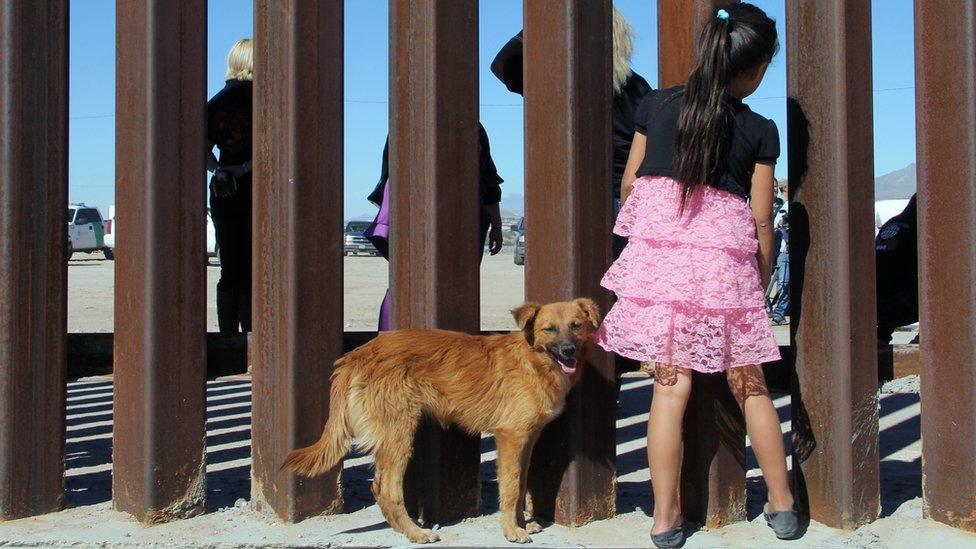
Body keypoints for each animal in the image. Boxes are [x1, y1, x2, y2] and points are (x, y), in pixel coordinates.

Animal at [282, 300, 600, 544]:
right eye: (549, 329)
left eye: (576, 325)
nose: (569, 350)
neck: (533, 361)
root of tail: (356, 355)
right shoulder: (510, 437)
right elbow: (510, 489)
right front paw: (512, 530)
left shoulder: (527, 440)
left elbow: (521, 484)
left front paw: (524, 522)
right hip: (400, 435)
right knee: (386, 489)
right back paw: (415, 533)